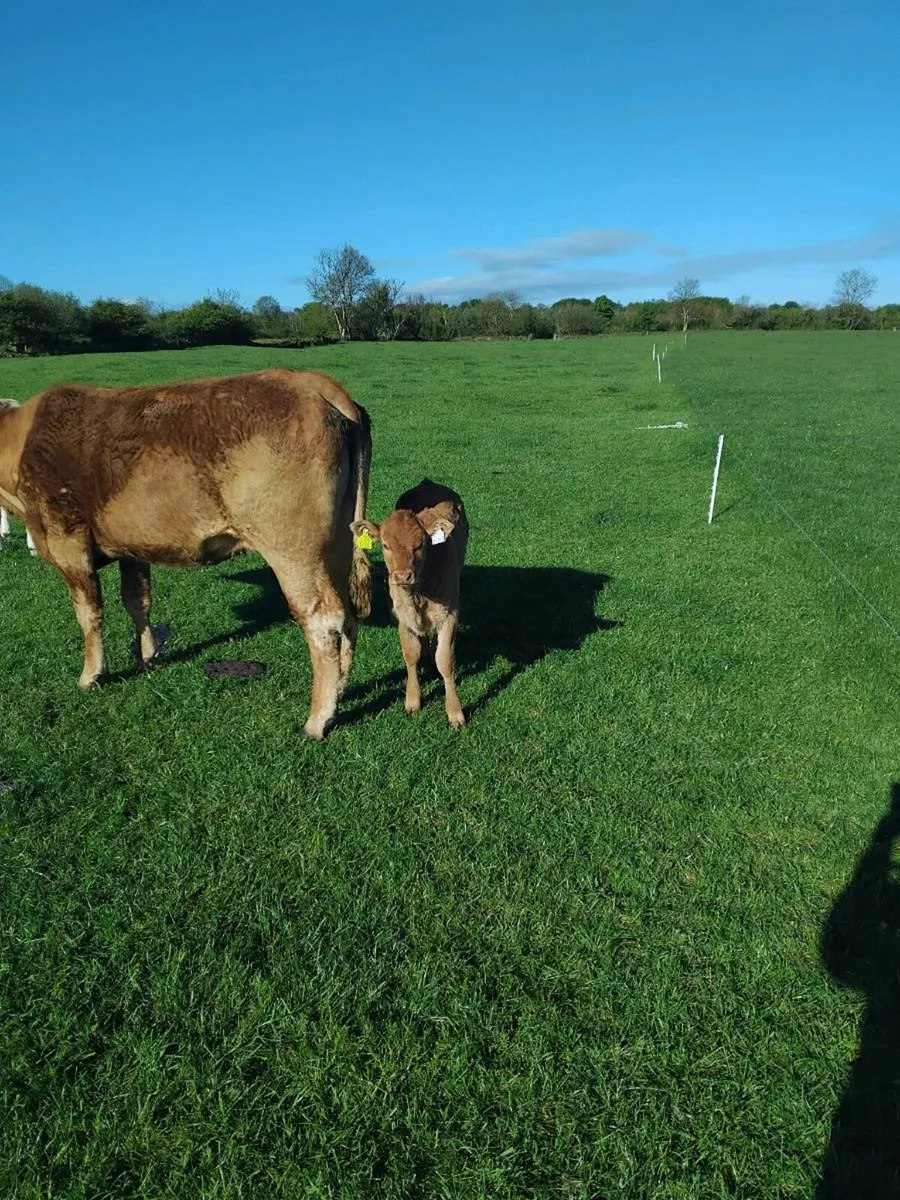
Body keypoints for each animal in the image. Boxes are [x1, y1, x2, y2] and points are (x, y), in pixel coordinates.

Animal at [0, 369, 372, 740]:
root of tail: (314, 383)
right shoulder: (133, 545)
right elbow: (137, 600)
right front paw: (148, 656)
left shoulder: (67, 540)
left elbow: (89, 613)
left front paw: (91, 674)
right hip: (337, 544)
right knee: (348, 615)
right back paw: (340, 690)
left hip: (293, 550)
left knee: (324, 620)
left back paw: (318, 720)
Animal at [351, 478, 467, 728]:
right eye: (385, 545)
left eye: (420, 544)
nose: (403, 576)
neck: (419, 594)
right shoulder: (401, 615)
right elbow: (410, 654)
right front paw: (412, 701)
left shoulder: (450, 613)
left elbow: (445, 660)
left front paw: (455, 712)